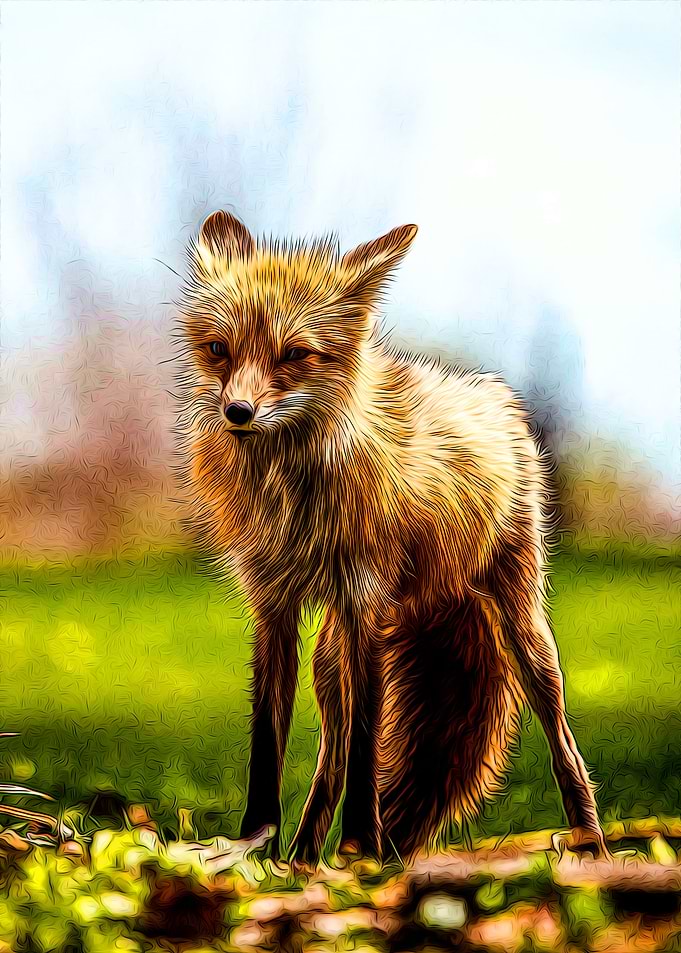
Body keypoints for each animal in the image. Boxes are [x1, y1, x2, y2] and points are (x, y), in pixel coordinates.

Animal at [175, 209, 607, 865]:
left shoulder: (365, 604)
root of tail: (494, 394)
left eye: (294, 354)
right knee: (329, 756)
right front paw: (254, 843)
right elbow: (268, 744)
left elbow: (367, 748)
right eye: (219, 349)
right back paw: (301, 859)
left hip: (526, 635)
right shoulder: (273, 604)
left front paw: (361, 845)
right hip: (329, 662)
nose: (238, 413)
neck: (293, 491)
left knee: (564, 745)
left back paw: (594, 847)